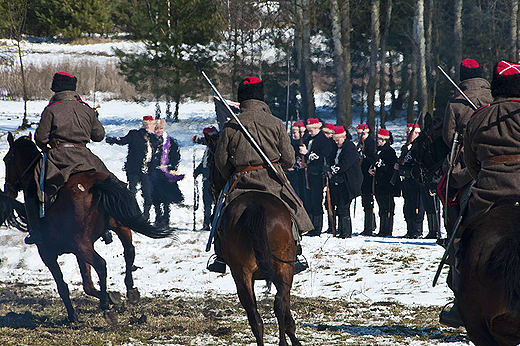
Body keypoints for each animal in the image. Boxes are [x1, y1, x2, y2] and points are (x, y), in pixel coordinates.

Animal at [4, 132, 175, 322]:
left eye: (7, 159)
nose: (8, 189)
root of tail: (97, 185)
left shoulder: (48, 253)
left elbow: (63, 285)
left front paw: (74, 314)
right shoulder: (78, 250)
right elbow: (87, 284)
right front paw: (111, 296)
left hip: (82, 243)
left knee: (101, 264)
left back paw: (106, 305)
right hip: (118, 228)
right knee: (129, 252)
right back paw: (130, 291)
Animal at [203, 132, 300, 346]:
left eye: (210, 162)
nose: (210, 189)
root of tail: (255, 205)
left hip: (246, 274)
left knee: (259, 316)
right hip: (278, 268)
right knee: (276, 306)